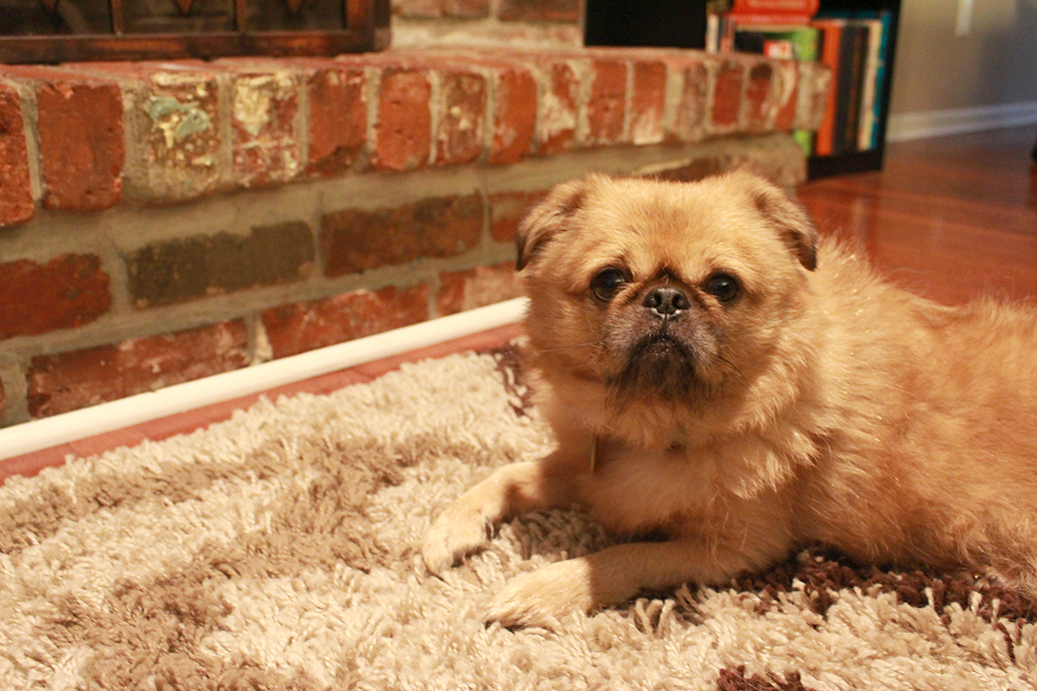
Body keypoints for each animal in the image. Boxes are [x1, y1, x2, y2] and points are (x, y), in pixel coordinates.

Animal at [422, 171, 1037, 629]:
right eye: (609, 280)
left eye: (722, 286)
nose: (667, 298)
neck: (661, 417)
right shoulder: (587, 463)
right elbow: (510, 477)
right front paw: (450, 527)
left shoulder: (733, 550)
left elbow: (621, 556)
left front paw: (547, 588)